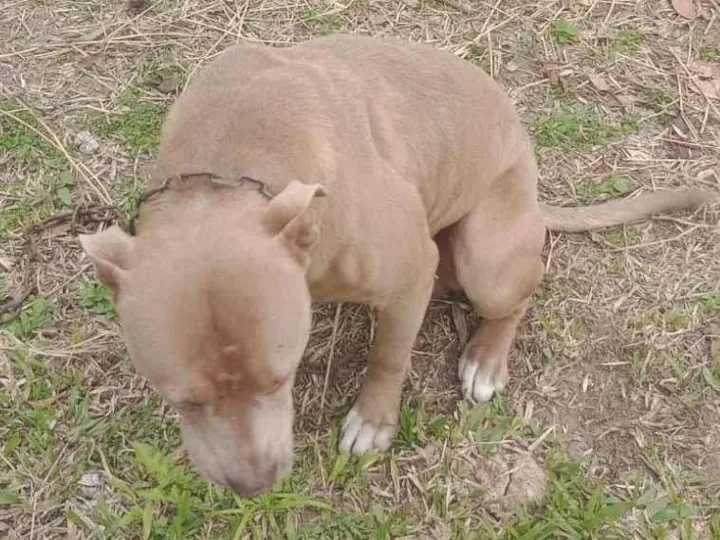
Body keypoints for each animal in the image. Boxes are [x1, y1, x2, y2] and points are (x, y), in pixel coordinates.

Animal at [78, 35, 715, 496]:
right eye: (181, 400)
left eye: (281, 379)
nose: (254, 486)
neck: (227, 168)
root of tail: (535, 193)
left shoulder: (411, 273)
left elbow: (388, 354)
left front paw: (373, 420)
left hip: (485, 254)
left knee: (522, 288)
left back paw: (487, 358)